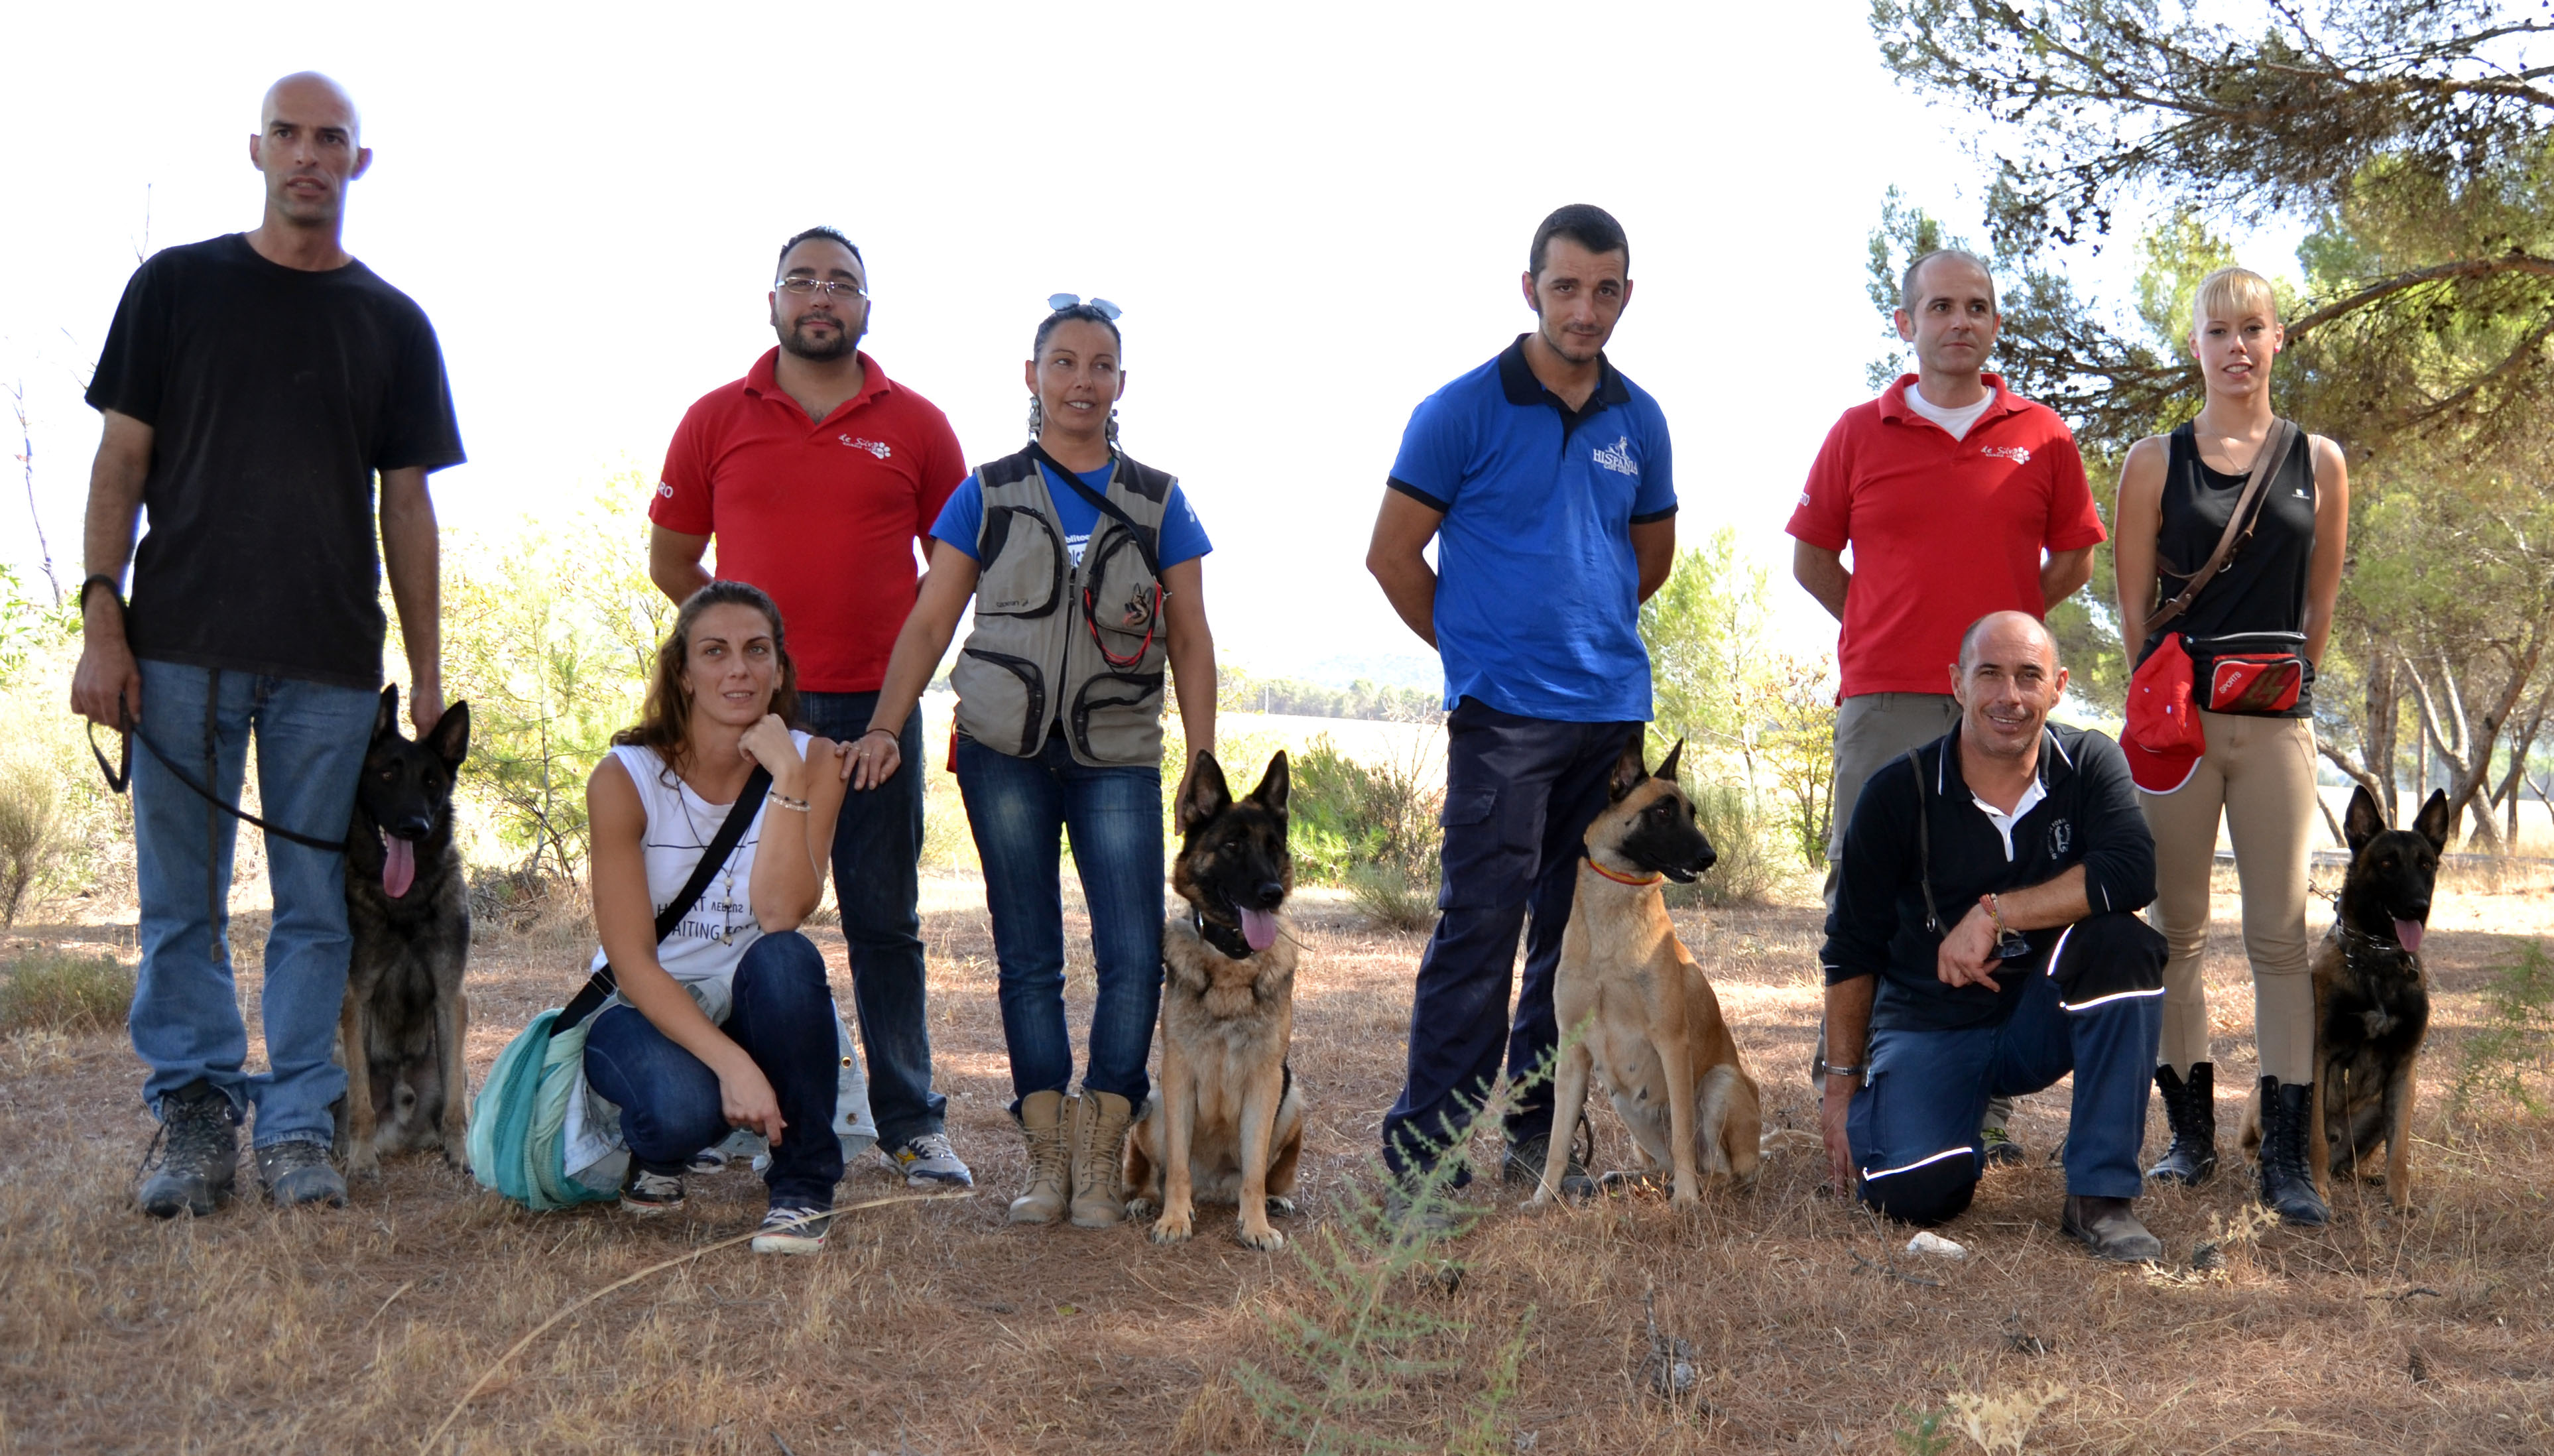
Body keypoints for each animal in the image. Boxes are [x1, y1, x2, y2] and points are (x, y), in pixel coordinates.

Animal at [337, 684, 477, 1175]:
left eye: (431, 782)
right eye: (385, 775)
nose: (414, 826)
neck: (406, 901)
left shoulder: (450, 997)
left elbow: (455, 1104)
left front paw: (461, 1153)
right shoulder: (355, 998)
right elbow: (361, 1101)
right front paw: (361, 1160)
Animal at [1532, 730, 1757, 1205]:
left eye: (1692, 813)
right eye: (1662, 812)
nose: (1709, 855)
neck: (1613, 920)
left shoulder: (1672, 1043)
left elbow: (1685, 1135)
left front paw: (1686, 1200)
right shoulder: (1572, 1053)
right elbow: (1559, 1139)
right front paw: (1544, 1197)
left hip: (1720, 1083)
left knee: (1717, 1168)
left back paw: (1694, 1186)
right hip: (1625, 1102)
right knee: (1662, 1163)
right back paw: (1625, 1180)